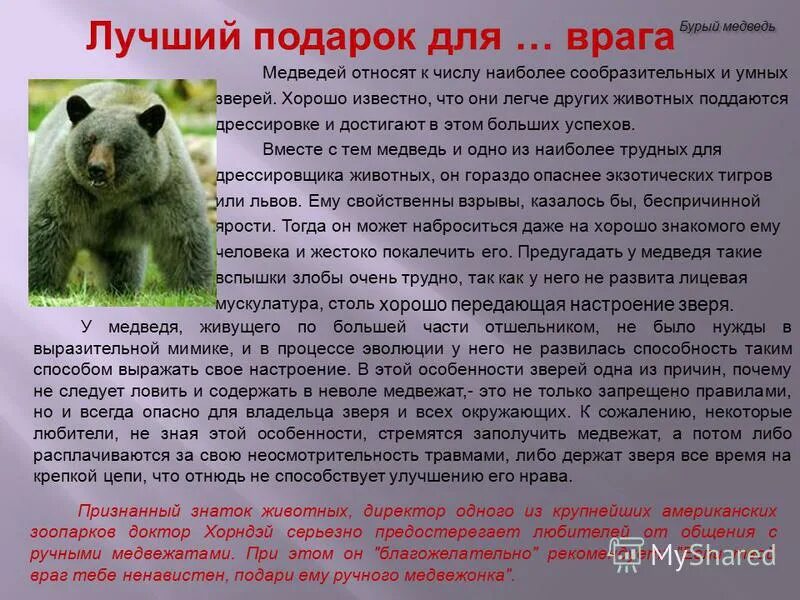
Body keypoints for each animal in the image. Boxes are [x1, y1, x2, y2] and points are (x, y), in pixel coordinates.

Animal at [29, 81, 214, 295]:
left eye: (119, 147)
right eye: (89, 141)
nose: (96, 169)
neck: (117, 195)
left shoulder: (165, 185)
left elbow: (182, 235)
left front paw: (193, 288)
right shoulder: (67, 184)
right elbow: (49, 229)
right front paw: (41, 286)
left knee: (123, 260)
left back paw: (122, 288)